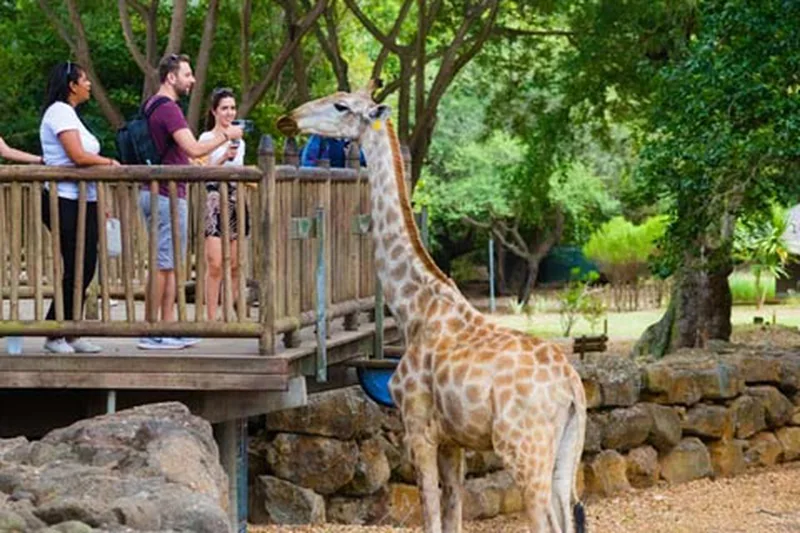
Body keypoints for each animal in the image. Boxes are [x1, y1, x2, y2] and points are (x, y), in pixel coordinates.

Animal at [278, 85, 587, 533]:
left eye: (341, 106)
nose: (288, 119)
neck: (414, 307)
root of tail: (572, 389)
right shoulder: (453, 440)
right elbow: (454, 514)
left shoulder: (418, 427)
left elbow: (432, 516)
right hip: (567, 450)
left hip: (523, 448)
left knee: (545, 521)